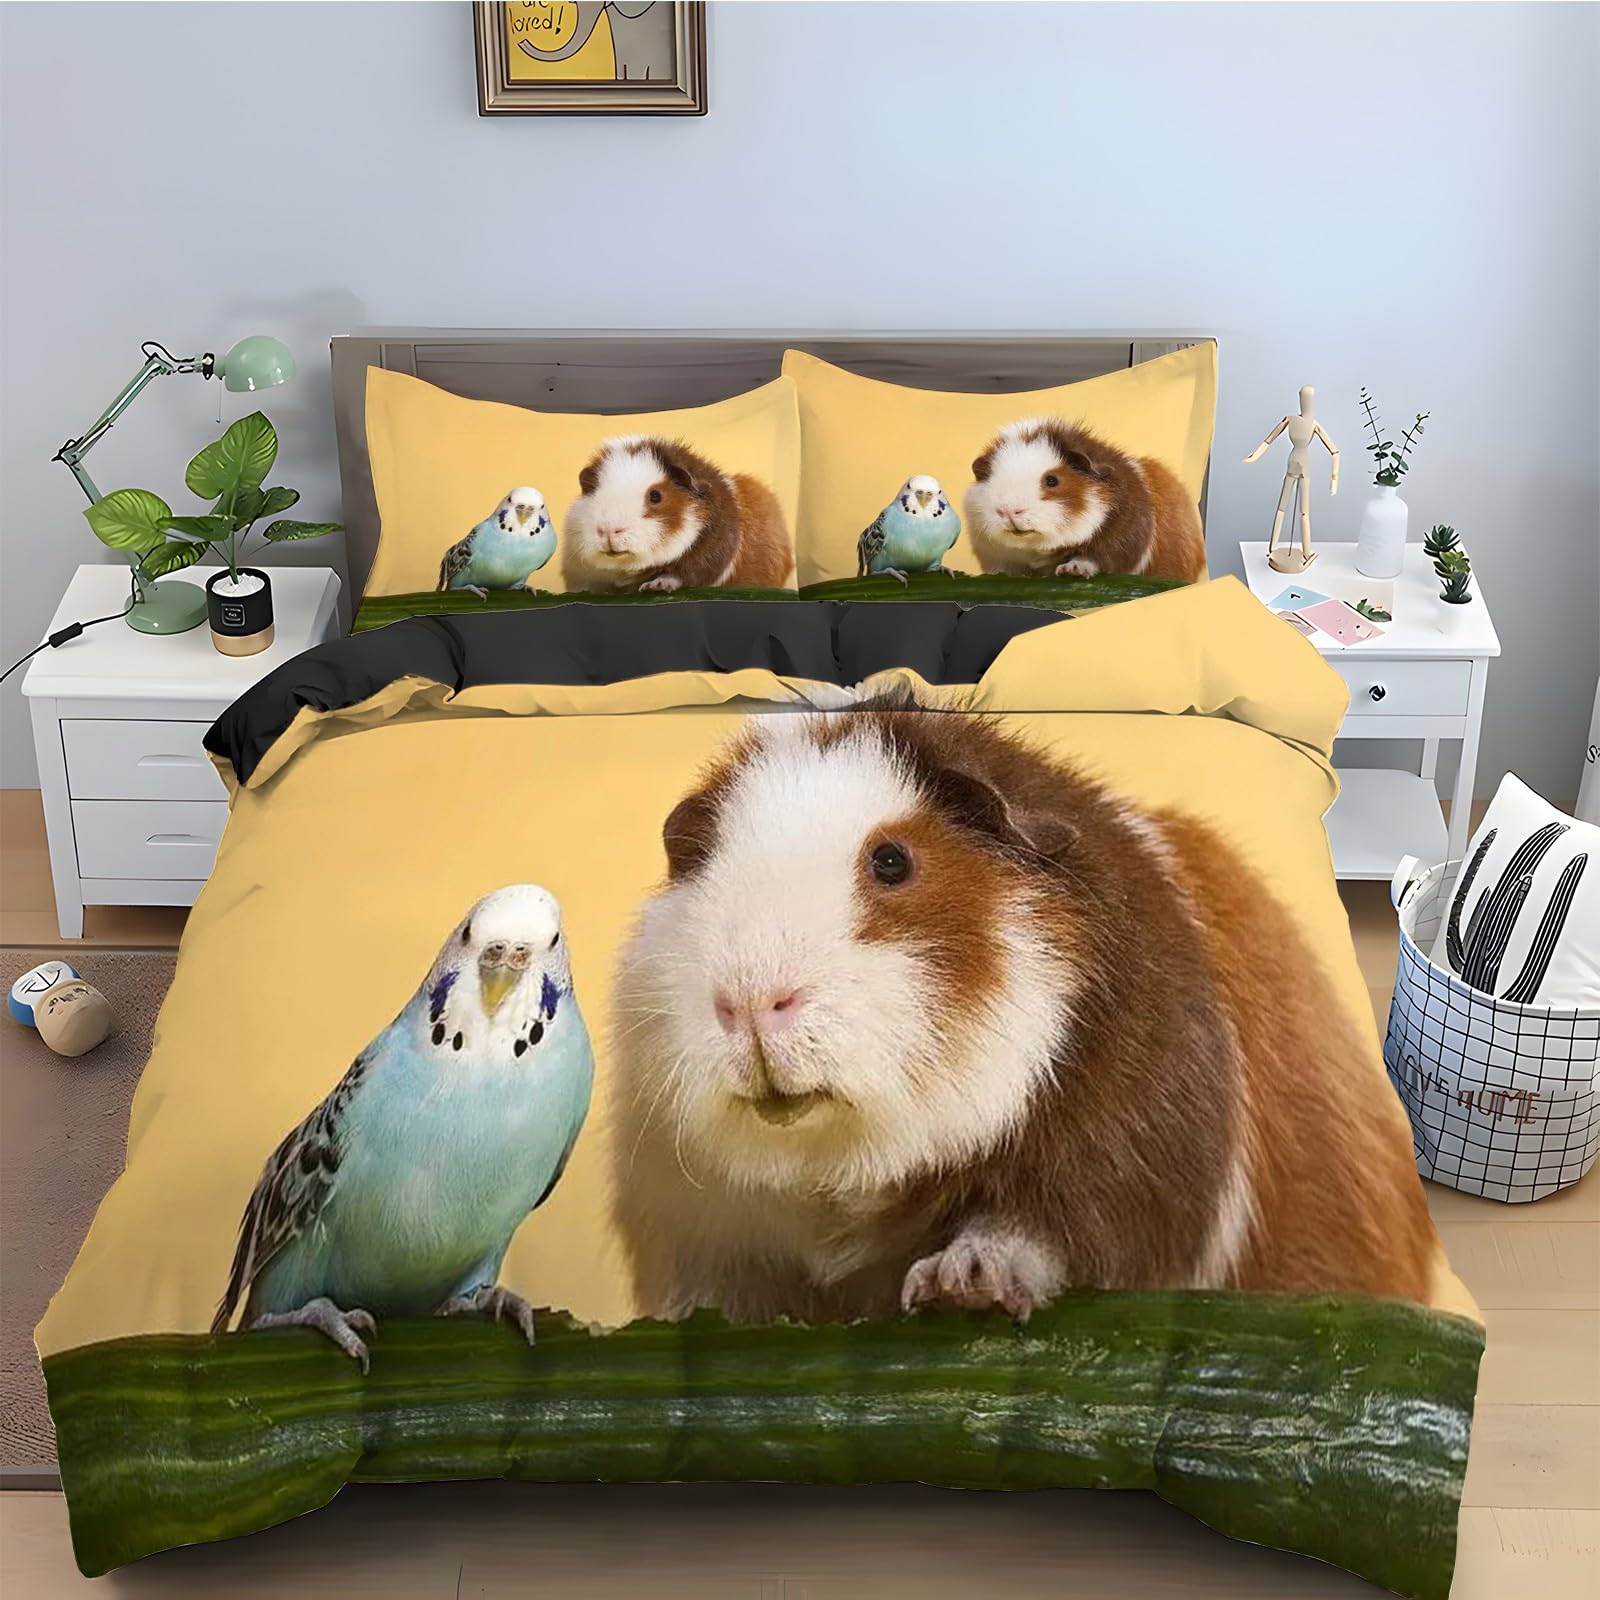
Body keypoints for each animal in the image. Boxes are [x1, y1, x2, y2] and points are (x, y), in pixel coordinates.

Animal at [562, 436, 793, 594]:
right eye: (595, 492)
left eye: (655, 496)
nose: (609, 530)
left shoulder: (705, 562)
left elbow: (681, 575)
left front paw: (655, 586)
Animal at [609, 704, 1434, 1325]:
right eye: (708, 867)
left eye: (892, 861)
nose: (750, 1002)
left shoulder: (1118, 1163)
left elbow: (1039, 1232)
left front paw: (958, 1285)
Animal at [965, 417, 1207, 583]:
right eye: (992, 478)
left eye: (1052, 480)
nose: (1009, 511)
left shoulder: (1120, 542)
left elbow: (1093, 558)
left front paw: (1071, 571)